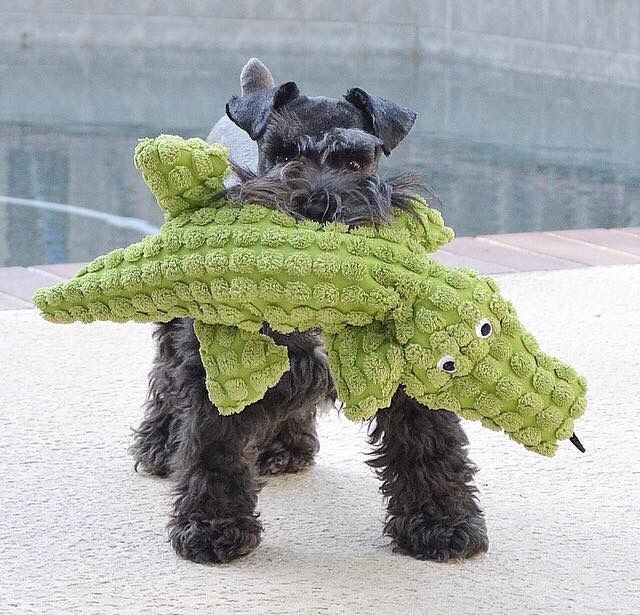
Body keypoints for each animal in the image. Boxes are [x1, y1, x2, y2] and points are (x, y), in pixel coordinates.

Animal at [131, 60, 490, 564]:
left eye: (357, 161)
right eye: (281, 154)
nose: (318, 205)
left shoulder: (406, 369)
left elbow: (428, 443)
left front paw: (444, 524)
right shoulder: (216, 364)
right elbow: (212, 444)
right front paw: (212, 528)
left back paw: (284, 448)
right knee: (165, 379)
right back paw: (161, 445)